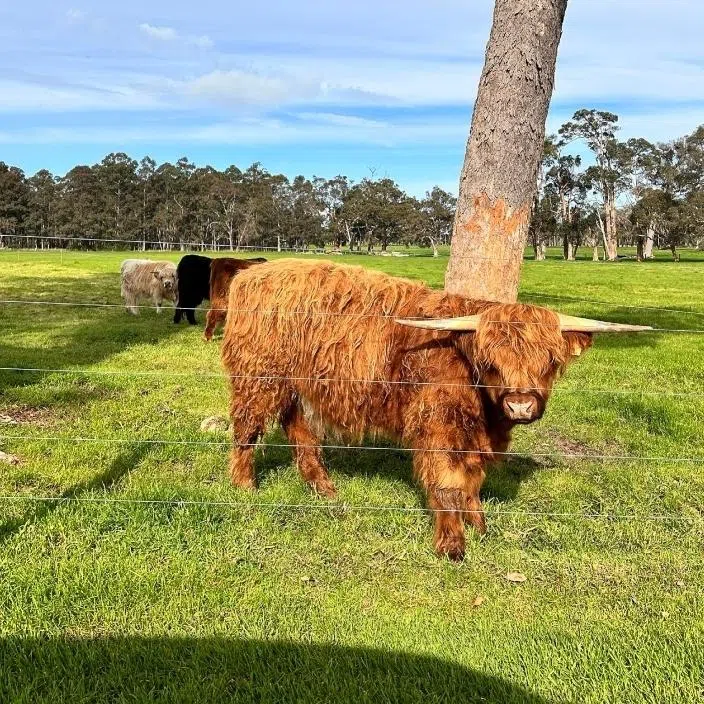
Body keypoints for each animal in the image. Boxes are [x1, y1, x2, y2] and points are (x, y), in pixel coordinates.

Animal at [220, 260, 650, 560]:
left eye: (549, 361)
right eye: (492, 362)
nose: (520, 404)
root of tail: (252, 274)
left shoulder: (475, 435)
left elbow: (473, 479)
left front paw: (479, 523)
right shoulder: (439, 424)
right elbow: (447, 480)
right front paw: (452, 543)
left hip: (294, 387)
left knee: (299, 431)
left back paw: (324, 489)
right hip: (258, 377)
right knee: (247, 429)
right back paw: (244, 485)